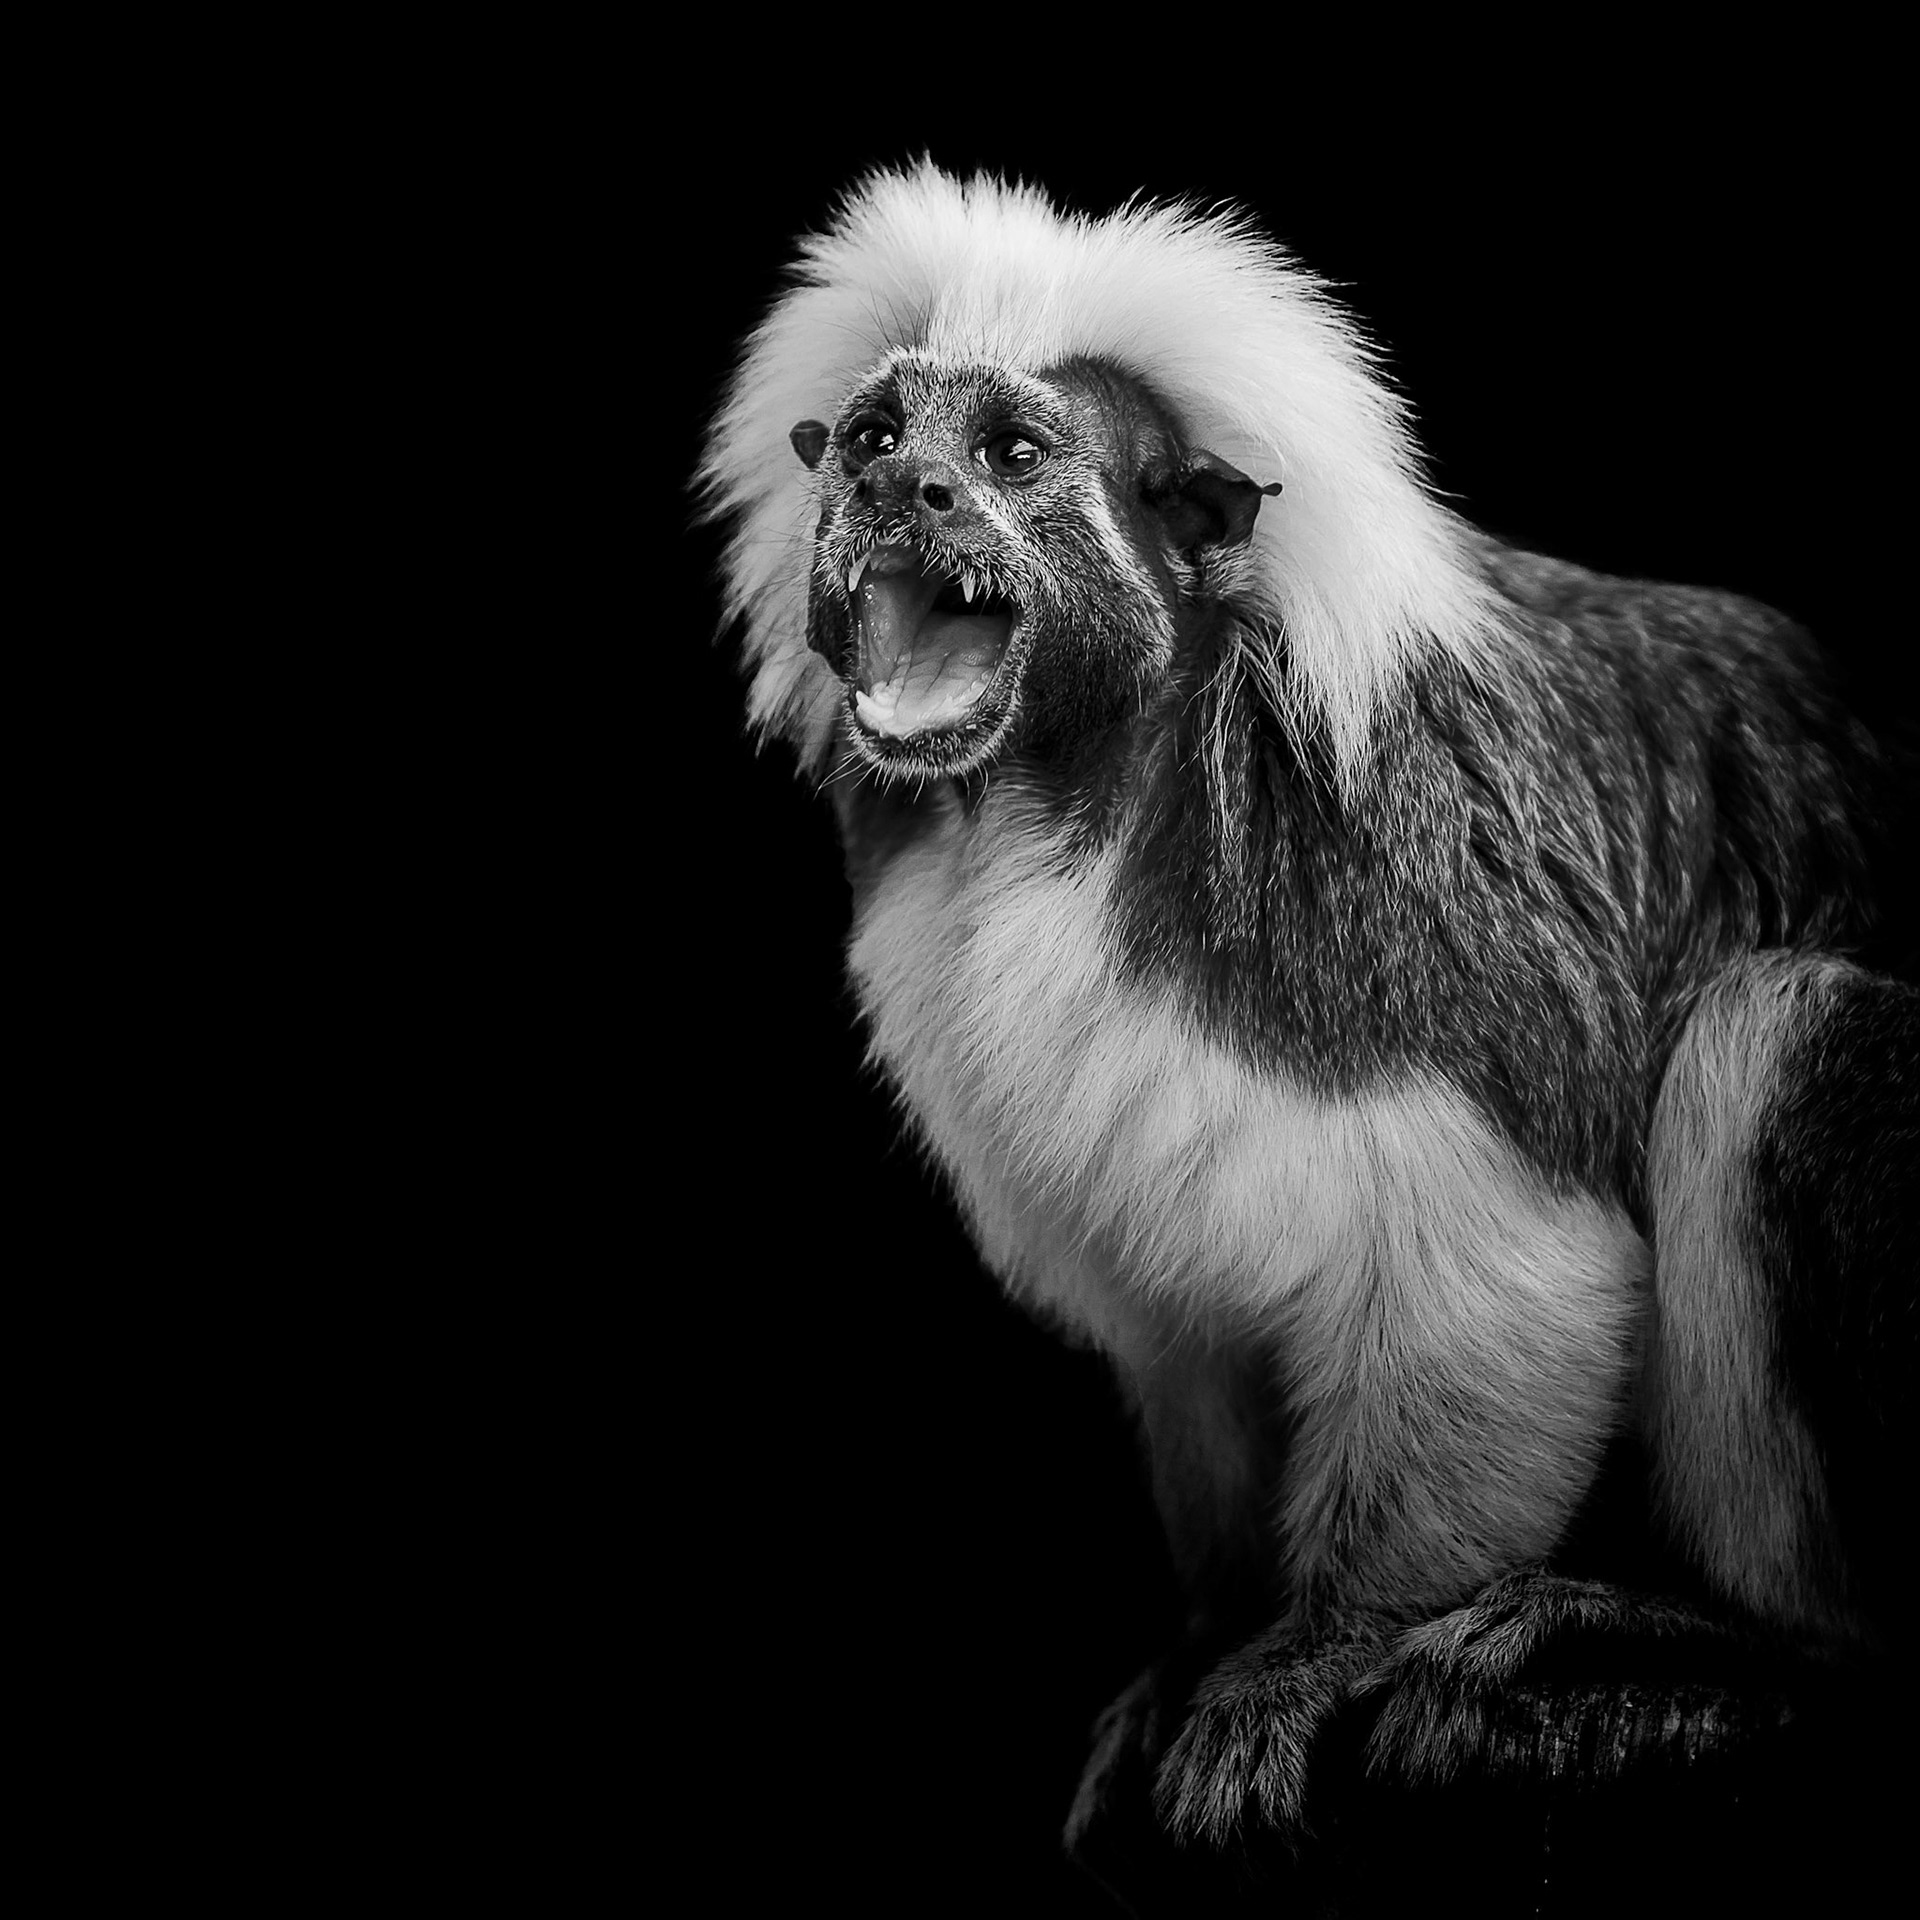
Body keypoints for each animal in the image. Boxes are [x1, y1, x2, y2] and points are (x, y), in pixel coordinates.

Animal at [698, 162, 1917, 1876]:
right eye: (877, 437)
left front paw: (1312, 1655)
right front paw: (1205, 1643)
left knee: (1780, 1024)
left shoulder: (1399, 911)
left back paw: (1710, 1639)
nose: (907, 496)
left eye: (1007, 457)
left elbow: (1509, 1275)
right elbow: (1188, 1322)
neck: (1064, 802)